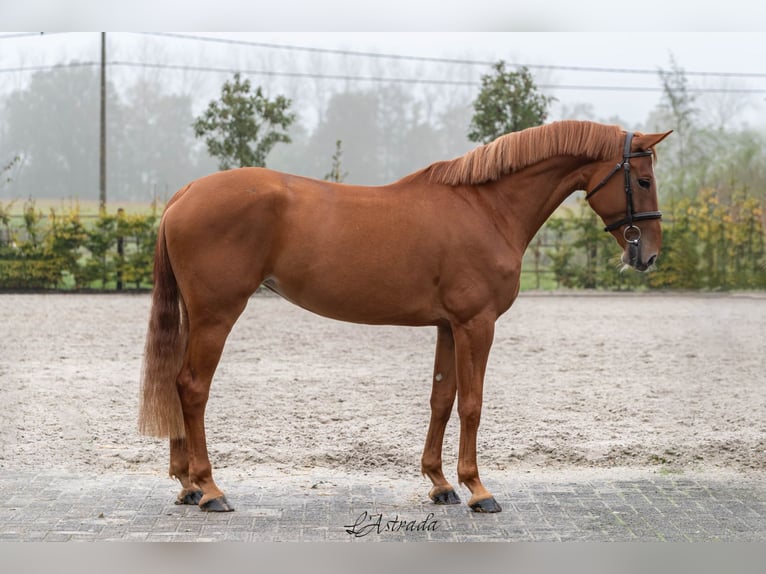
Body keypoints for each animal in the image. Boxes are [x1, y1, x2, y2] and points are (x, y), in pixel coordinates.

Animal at [138, 120, 672, 512]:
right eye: (643, 180)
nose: (648, 255)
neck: (487, 207)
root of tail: (186, 192)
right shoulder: (477, 324)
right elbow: (472, 403)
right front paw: (478, 490)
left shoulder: (449, 327)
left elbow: (441, 399)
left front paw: (440, 483)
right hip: (217, 315)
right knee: (192, 388)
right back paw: (210, 489)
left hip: (196, 315)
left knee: (175, 382)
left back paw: (186, 485)